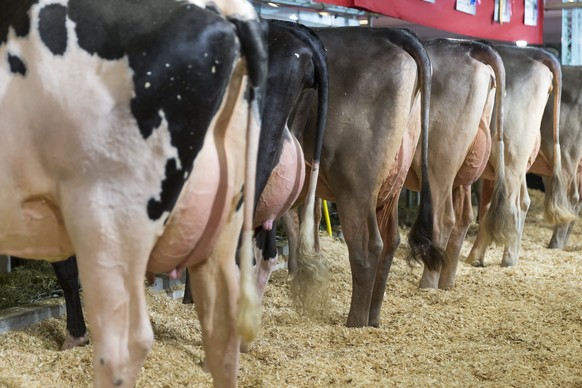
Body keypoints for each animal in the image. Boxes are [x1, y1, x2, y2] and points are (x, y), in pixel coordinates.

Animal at [290, 28, 444, 328]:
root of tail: (394, 33)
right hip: (392, 184)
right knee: (390, 241)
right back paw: (373, 317)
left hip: (354, 185)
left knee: (367, 245)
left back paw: (356, 321)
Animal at [404, 38, 512, 290]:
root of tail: (469, 46)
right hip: (463, 172)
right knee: (463, 218)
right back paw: (447, 282)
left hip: (439, 164)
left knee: (443, 219)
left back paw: (428, 284)